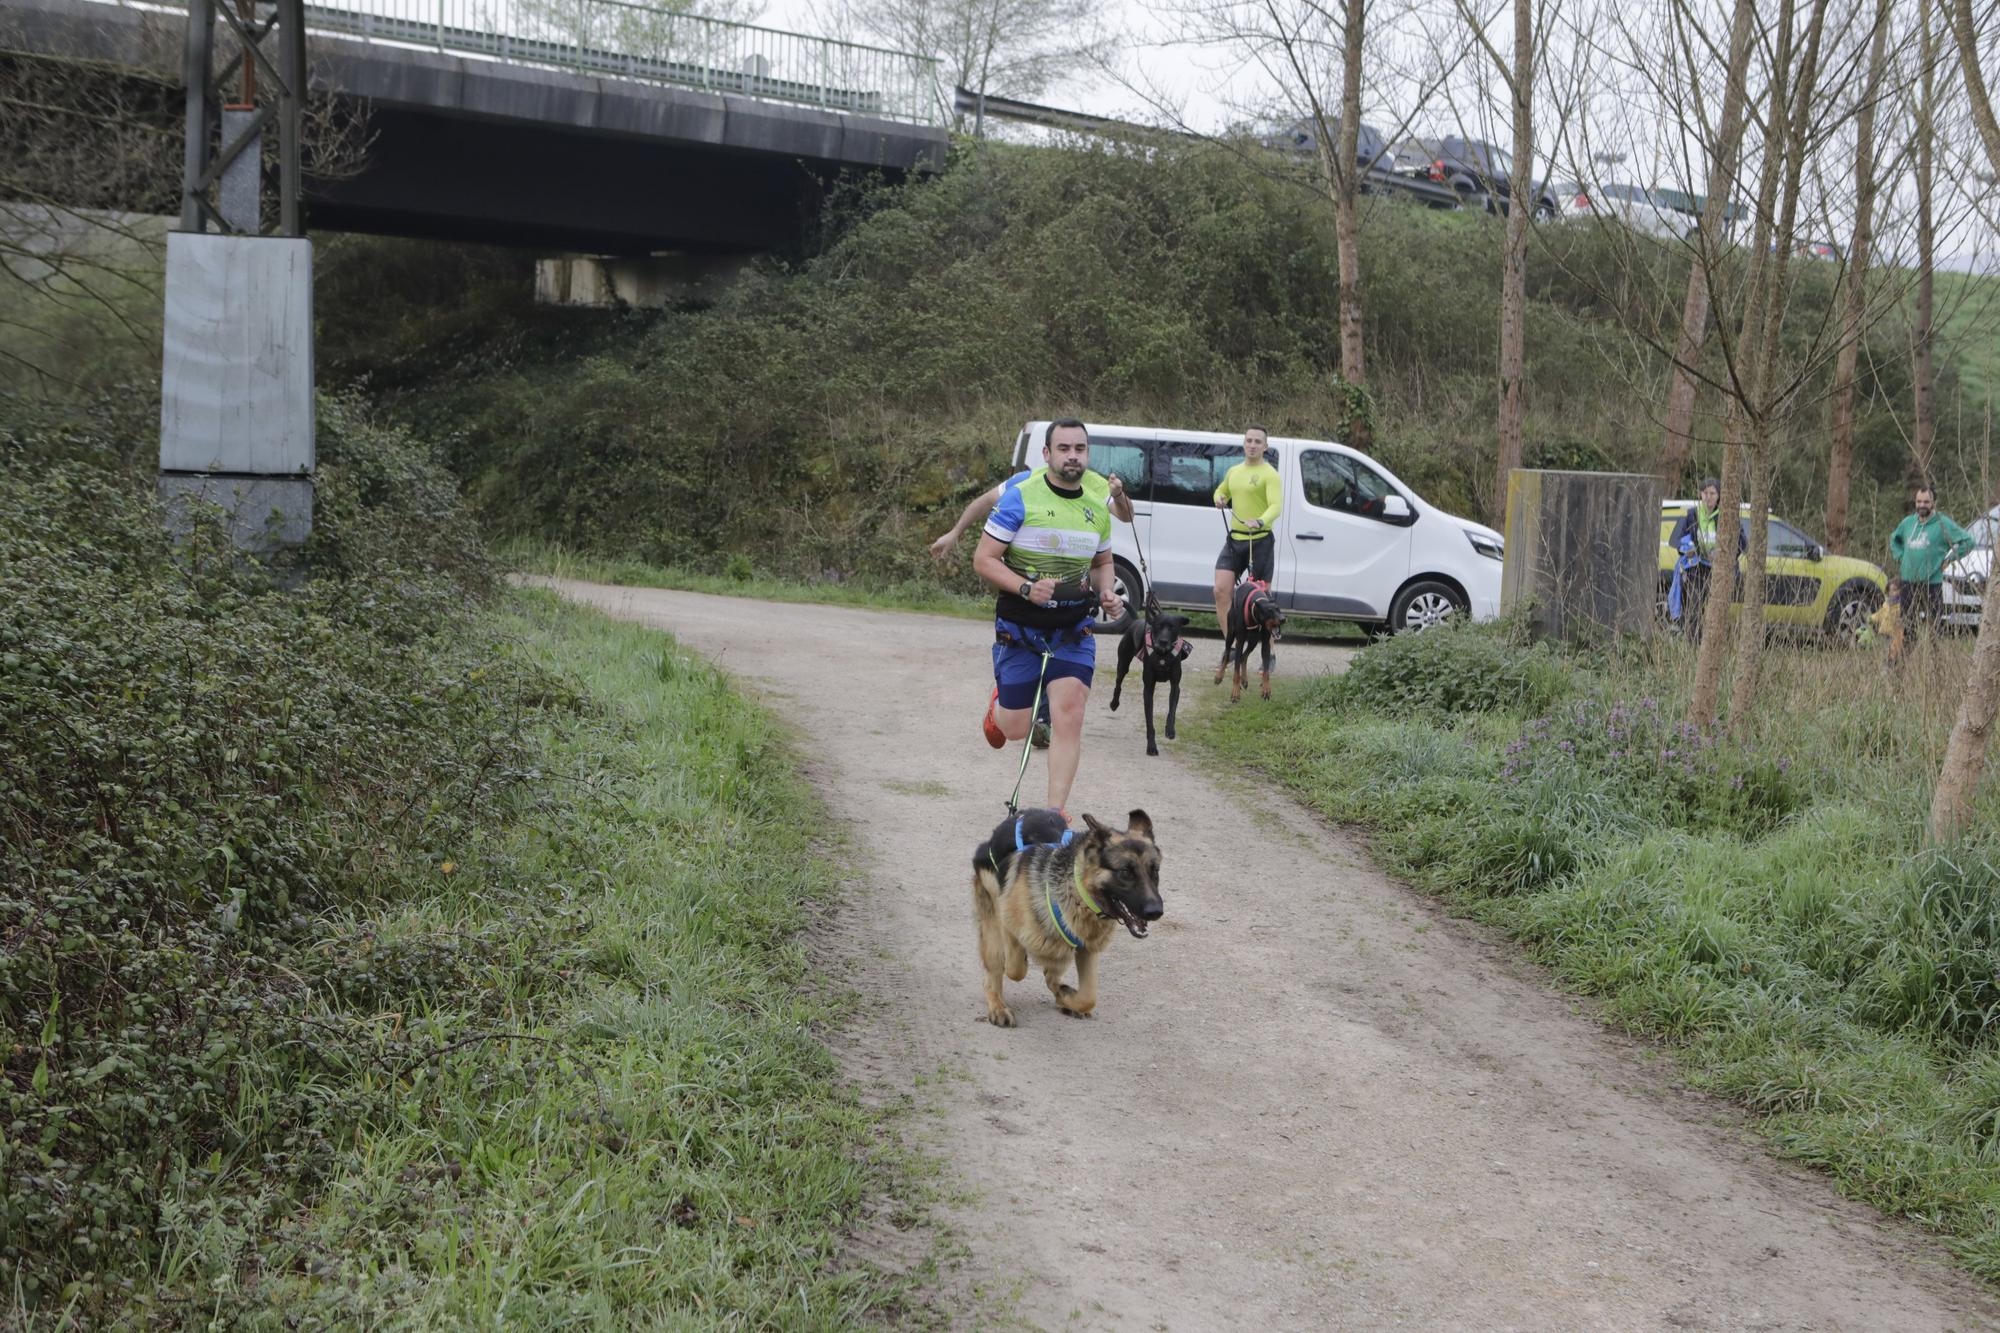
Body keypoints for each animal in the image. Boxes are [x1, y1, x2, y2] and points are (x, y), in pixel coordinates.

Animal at [964, 800, 1160, 1024]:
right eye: (1126, 872)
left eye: (1155, 871)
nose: (1156, 911)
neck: (1079, 893)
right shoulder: (1008, 924)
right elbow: (1015, 968)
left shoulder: (1087, 949)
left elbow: (1088, 997)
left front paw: (1066, 996)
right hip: (992, 923)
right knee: (994, 972)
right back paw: (998, 1006)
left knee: (1053, 972)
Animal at [1112, 608, 1184, 752]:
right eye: (1158, 626)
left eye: (1172, 627)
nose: (1163, 641)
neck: (1162, 655)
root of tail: (1136, 620)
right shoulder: (1148, 690)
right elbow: (1149, 721)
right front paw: (1151, 747)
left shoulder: (1175, 686)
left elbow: (1172, 710)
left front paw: (1170, 729)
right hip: (1123, 663)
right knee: (1118, 683)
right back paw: (1114, 703)